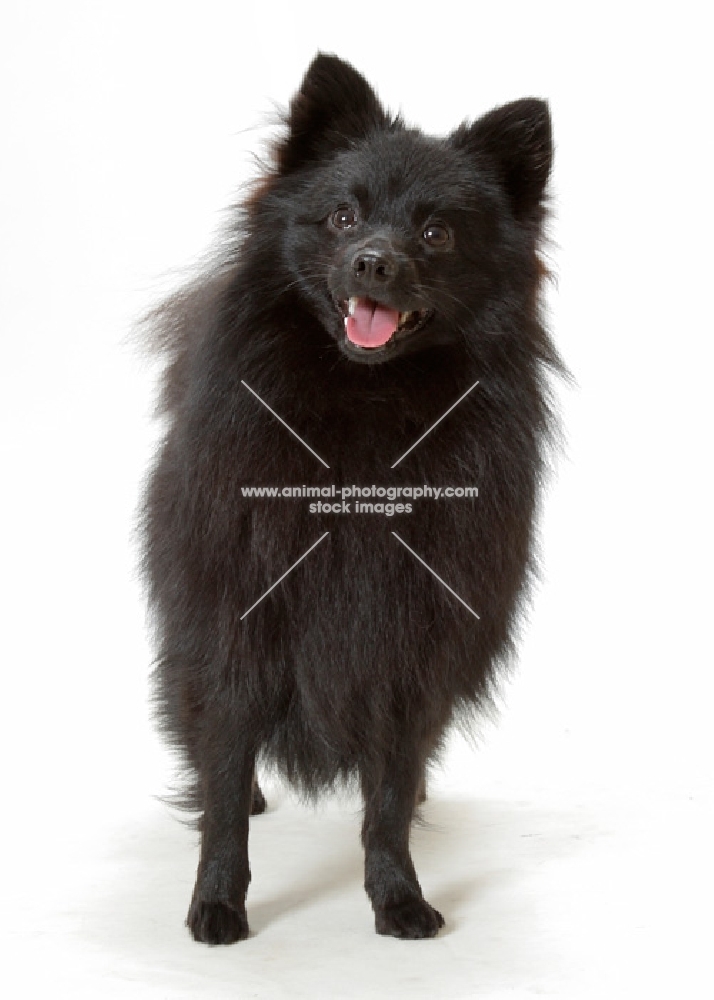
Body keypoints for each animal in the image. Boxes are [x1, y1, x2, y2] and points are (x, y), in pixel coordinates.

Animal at [140, 54, 560, 944]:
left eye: (436, 234)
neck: (361, 414)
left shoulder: (409, 643)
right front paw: (217, 901)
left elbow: (389, 798)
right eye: (342, 216)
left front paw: (397, 895)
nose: (373, 261)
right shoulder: (234, 628)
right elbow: (223, 779)